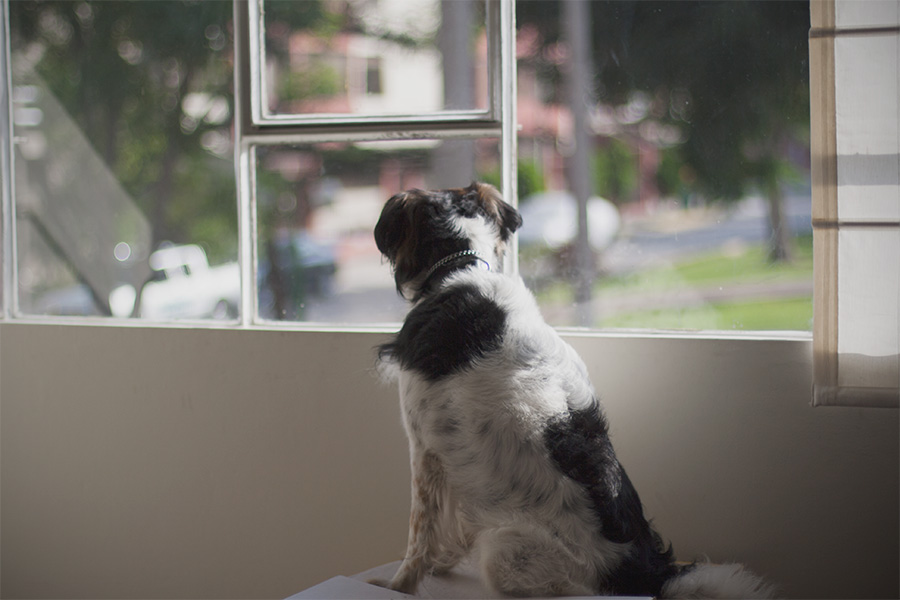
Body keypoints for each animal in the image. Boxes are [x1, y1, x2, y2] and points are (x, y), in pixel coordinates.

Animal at [370, 183, 772, 600]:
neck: (460, 267)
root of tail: (651, 574)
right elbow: (447, 531)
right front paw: (440, 565)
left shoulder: (423, 447)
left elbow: (420, 535)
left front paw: (397, 585)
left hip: (504, 550)